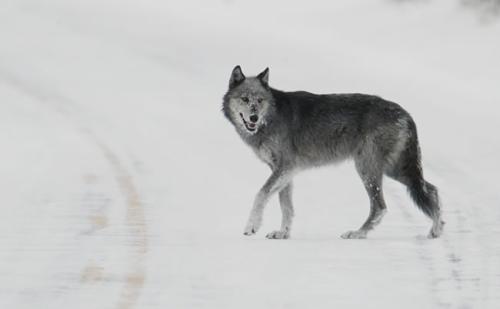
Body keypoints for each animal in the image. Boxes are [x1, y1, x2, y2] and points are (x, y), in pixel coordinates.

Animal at [223, 64, 446, 238]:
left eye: (259, 100)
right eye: (244, 99)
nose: (253, 118)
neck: (271, 116)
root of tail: (406, 113)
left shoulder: (285, 167)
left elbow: (261, 194)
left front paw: (252, 226)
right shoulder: (283, 171)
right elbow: (286, 206)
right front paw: (283, 233)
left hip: (368, 169)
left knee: (380, 207)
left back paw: (357, 233)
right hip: (394, 170)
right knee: (432, 190)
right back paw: (437, 230)